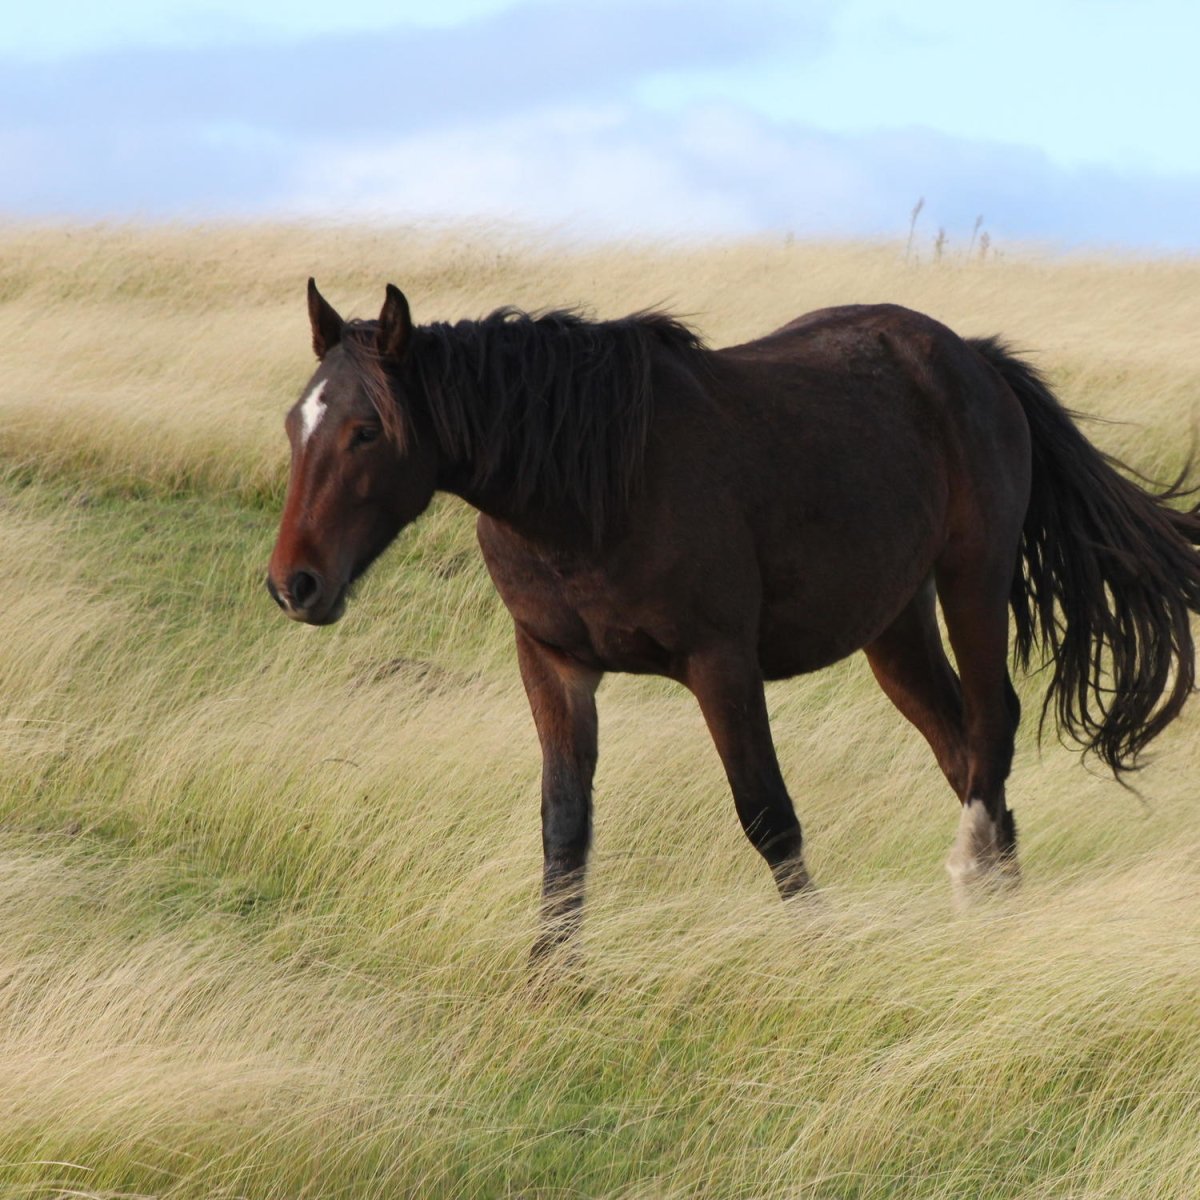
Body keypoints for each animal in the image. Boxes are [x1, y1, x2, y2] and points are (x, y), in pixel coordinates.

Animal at [267, 276, 1200, 960]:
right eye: (293, 424)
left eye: (365, 431)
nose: (293, 585)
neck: (591, 486)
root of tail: (973, 357)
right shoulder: (553, 665)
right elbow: (564, 827)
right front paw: (551, 981)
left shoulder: (721, 662)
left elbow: (768, 815)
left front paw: (823, 955)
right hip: (894, 622)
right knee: (957, 740)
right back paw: (1000, 905)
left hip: (973, 577)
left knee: (991, 723)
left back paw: (976, 873)